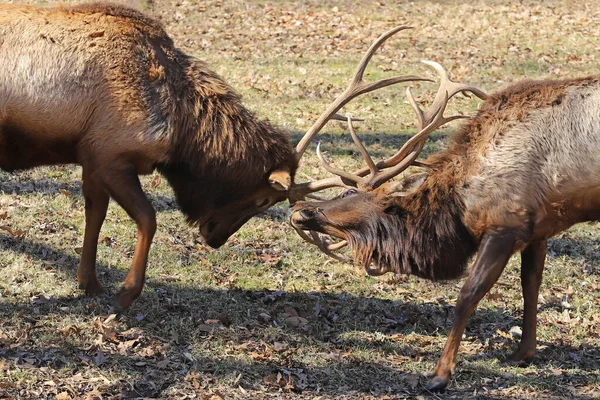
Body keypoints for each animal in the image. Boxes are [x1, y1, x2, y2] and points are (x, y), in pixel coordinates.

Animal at [288, 27, 600, 388]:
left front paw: (440, 373)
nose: (300, 211)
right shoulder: (538, 227)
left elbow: (468, 295)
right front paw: (523, 353)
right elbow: (530, 284)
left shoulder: (504, 225)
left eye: (354, 194)